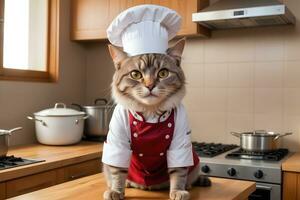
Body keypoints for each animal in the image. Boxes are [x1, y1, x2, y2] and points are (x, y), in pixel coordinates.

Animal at [102, 38, 210, 200]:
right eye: (135, 74)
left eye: (163, 73)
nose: (150, 85)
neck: (150, 112)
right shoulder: (117, 142)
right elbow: (117, 171)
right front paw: (116, 190)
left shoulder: (180, 143)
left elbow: (179, 172)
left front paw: (178, 190)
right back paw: (128, 183)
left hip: (195, 162)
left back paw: (188, 185)